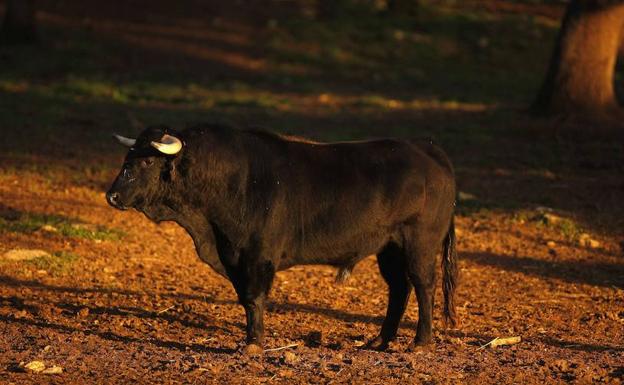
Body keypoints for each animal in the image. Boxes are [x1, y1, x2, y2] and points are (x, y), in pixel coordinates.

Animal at [106, 124, 458, 352]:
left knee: (423, 286)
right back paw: (381, 340)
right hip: (389, 248)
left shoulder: (257, 255)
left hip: (419, 243)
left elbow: (254, 297)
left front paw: (253, 344)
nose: (112, 195)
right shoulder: (234, 255)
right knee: (399, 288)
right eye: (127, 158)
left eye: (146, 160)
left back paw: (421, 343)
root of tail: (426, 146)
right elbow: (246, 298)